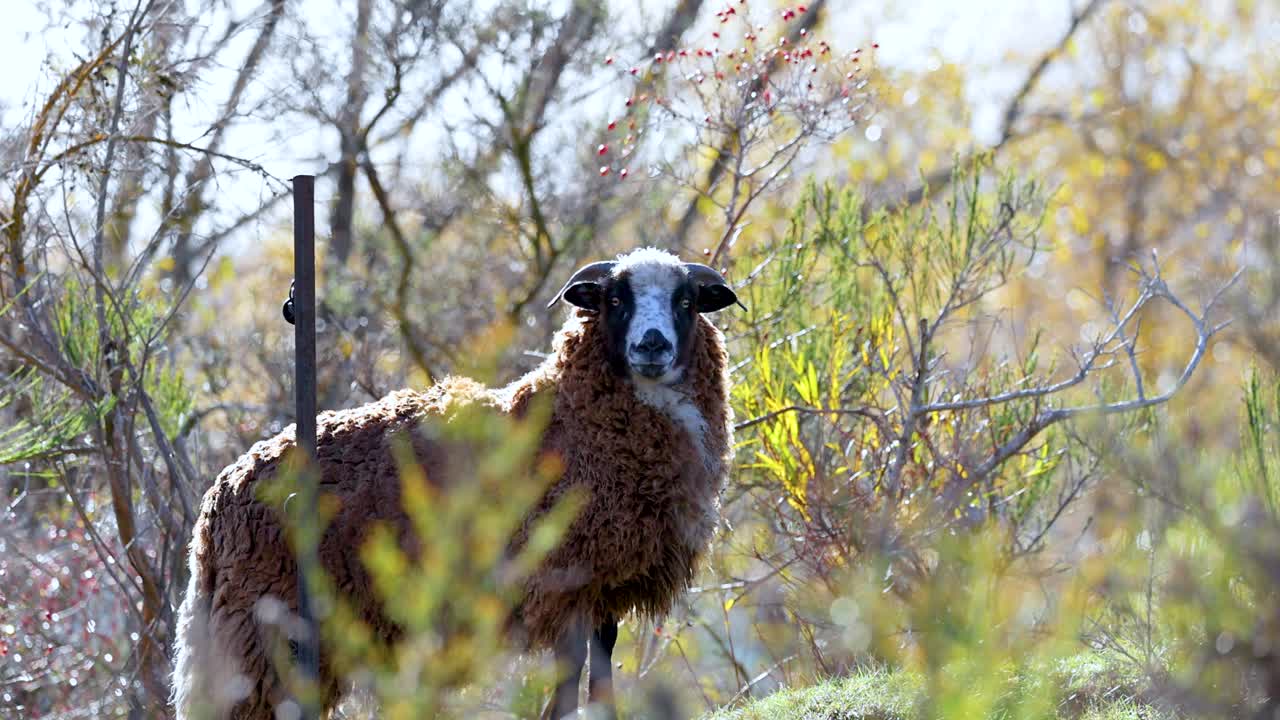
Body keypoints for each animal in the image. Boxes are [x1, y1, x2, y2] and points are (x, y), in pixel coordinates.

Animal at [171, 247, 740, 720]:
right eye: (616, 300)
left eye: (686, 301)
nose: (652, 345)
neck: (576, 420)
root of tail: (221, 496)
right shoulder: (566, 578)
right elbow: (571, 667)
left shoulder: (603, 583)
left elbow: (599, 663)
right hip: (263, 617)